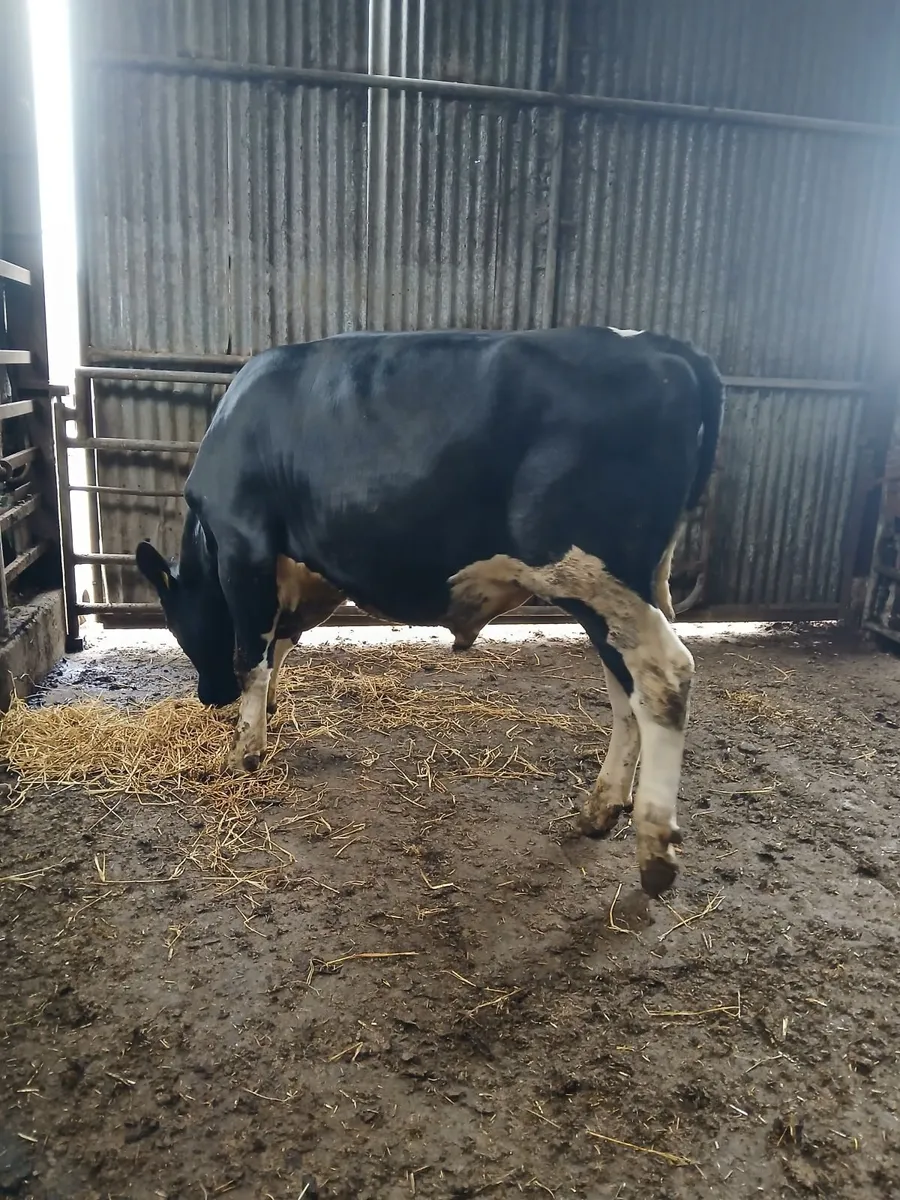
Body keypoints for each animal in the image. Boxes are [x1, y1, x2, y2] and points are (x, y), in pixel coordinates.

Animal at [135, 326, 723, 897]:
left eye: (177, 625)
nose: (208, 697)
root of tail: (659, 344)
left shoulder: (245, 545)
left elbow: (250, 655)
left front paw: (244, 752)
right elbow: (278, 642)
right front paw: (269, 713)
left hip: (596, 575)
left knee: (665, 675)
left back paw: (654, 850)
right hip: (615, 592)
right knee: (626, 688)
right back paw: (601, 809)